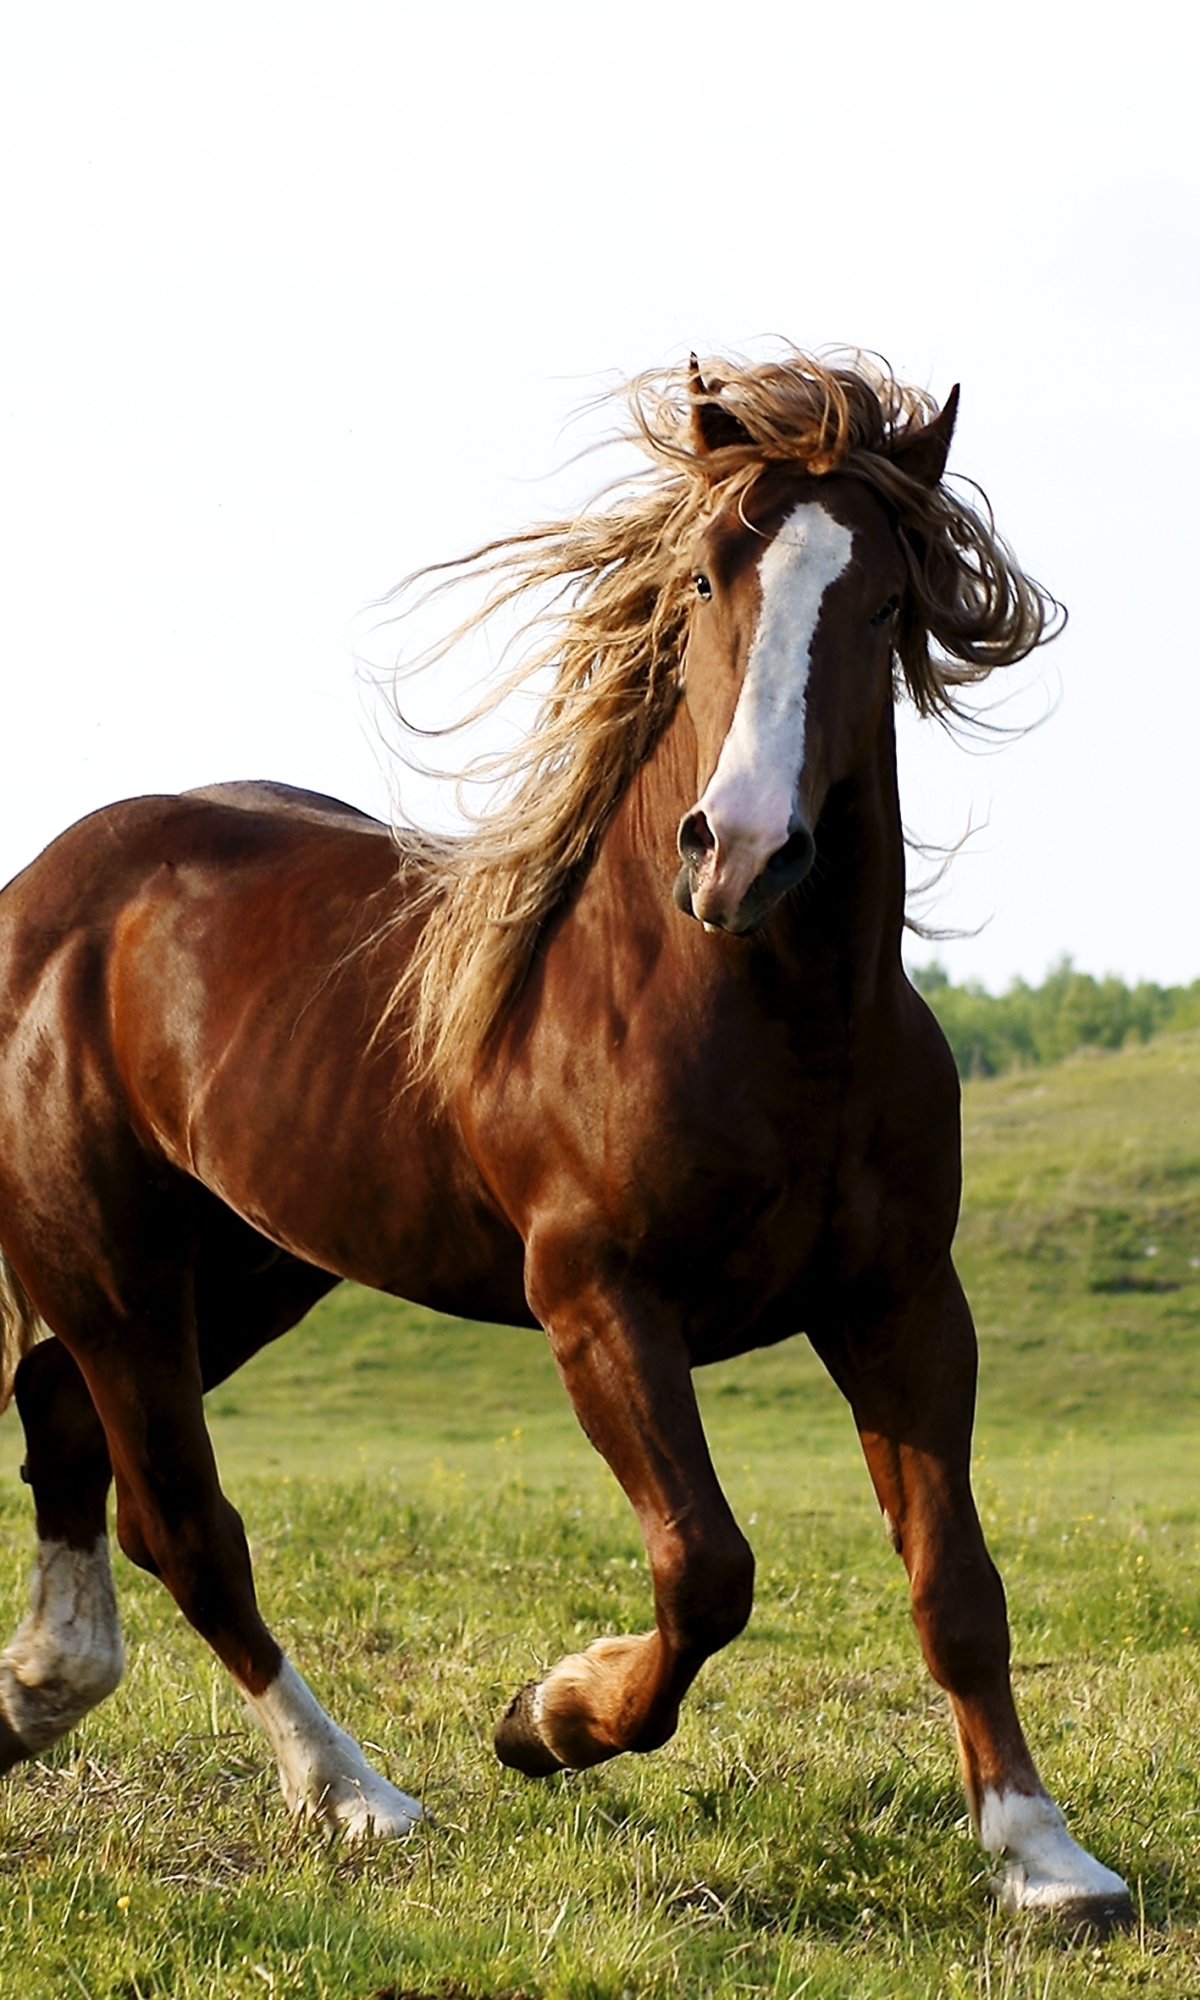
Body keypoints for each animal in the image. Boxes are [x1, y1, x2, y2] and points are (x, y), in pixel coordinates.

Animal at [0, 356, 1128, 1920]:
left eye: (887, 599)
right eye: (707, 575)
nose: (743, 851)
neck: (766, 1011)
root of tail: (44, 893)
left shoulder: (902, 1300)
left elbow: (954, 1583)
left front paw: (1043, 1855)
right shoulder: (596, 1295)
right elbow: (707, 1568)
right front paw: (547, 1717)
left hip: (243, 1268)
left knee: (65, 1427)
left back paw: (33, 1696)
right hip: (110, 1271)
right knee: (185, 1525)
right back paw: (355, 1796)